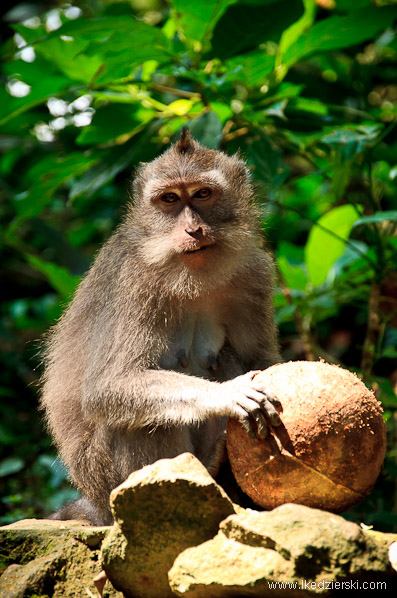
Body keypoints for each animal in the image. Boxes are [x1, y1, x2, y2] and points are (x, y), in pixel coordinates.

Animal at [41, 129, 282, 528]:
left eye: (203, 193)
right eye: (169, 199)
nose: (192, 229)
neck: (192, 275)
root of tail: (94, 503)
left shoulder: (256, 274)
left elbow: (261, 361)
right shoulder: (134, 281)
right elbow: (109, 386)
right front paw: (227, 393)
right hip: (104, 475)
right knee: (144, 419)